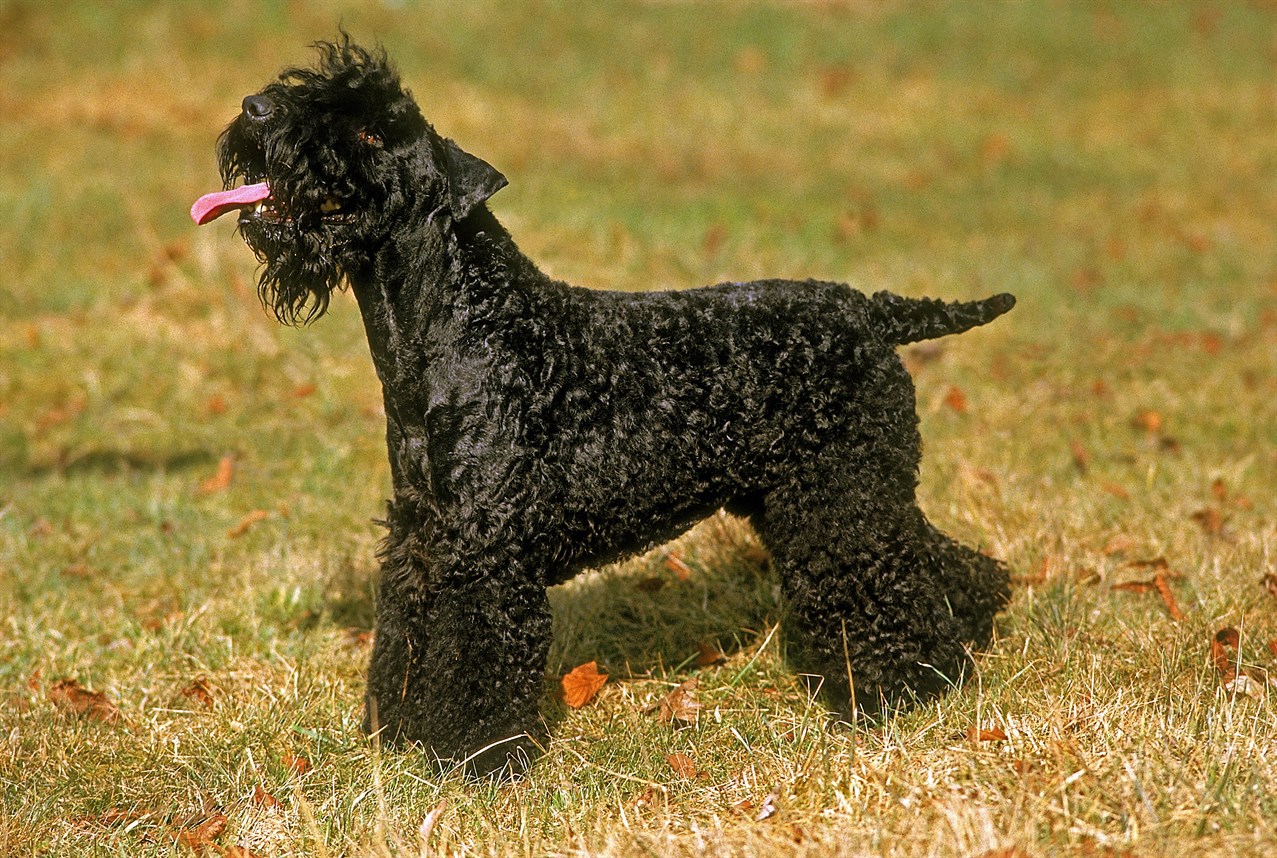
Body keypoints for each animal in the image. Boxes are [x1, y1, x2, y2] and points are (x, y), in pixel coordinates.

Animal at [196, 38, 1016, 776]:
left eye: (370, 131)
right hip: (819, 497)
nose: (257, 109)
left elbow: (475, 662)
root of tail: (872, 312)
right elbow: (404, 638)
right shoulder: (420, 537)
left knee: (893, 578)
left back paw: (906, 688)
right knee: (941, 559)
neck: (464, 324)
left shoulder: (482, 555)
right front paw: (397, 735)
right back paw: (966, 635)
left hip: (841, 500)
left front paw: (471, 759)